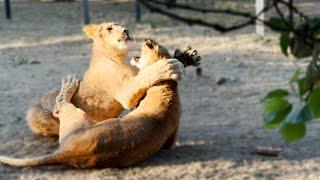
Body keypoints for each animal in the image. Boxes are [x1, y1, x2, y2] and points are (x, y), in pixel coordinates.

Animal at [26, 21, 185, 136]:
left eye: (121, 25)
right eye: (110, 28)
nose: (126, 30)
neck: (119, 57)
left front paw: (183, 60)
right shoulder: (125, 93)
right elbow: (146, 74)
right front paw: (169, 67)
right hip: (38, 116)